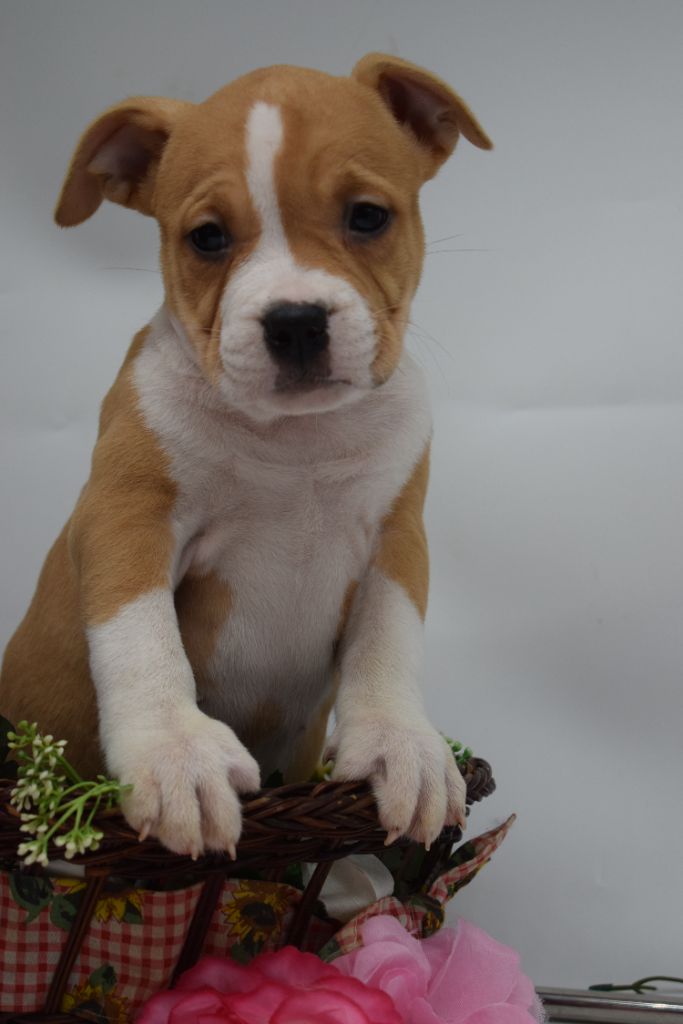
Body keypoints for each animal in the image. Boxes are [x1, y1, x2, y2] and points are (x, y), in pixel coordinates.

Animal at [1, 54, 491, 858]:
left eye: (367, 217)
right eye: (207, 237)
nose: (294, 321)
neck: (295, 440)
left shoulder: (396, 539)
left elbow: (388, 641)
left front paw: (400, 744)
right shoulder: (127, 519)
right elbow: (139, 637)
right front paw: (175, 751)